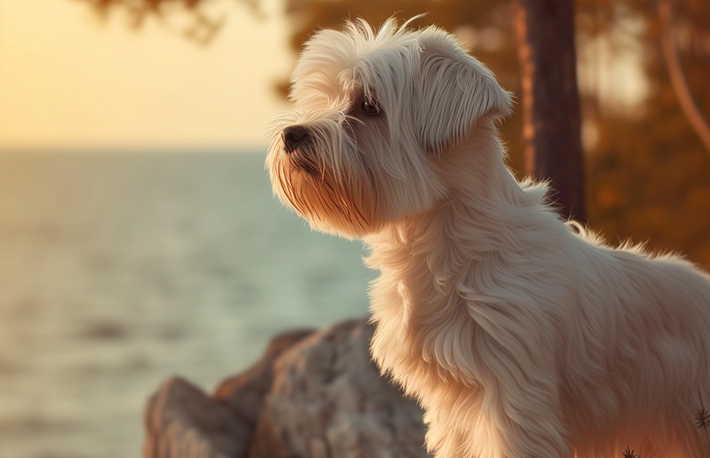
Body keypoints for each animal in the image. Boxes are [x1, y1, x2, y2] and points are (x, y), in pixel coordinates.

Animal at [266, 18, 710, 458]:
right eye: (325, 99)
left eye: (369, 106)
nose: (292, 133)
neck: (447, 249)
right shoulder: (453, 409)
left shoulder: (513, 402)